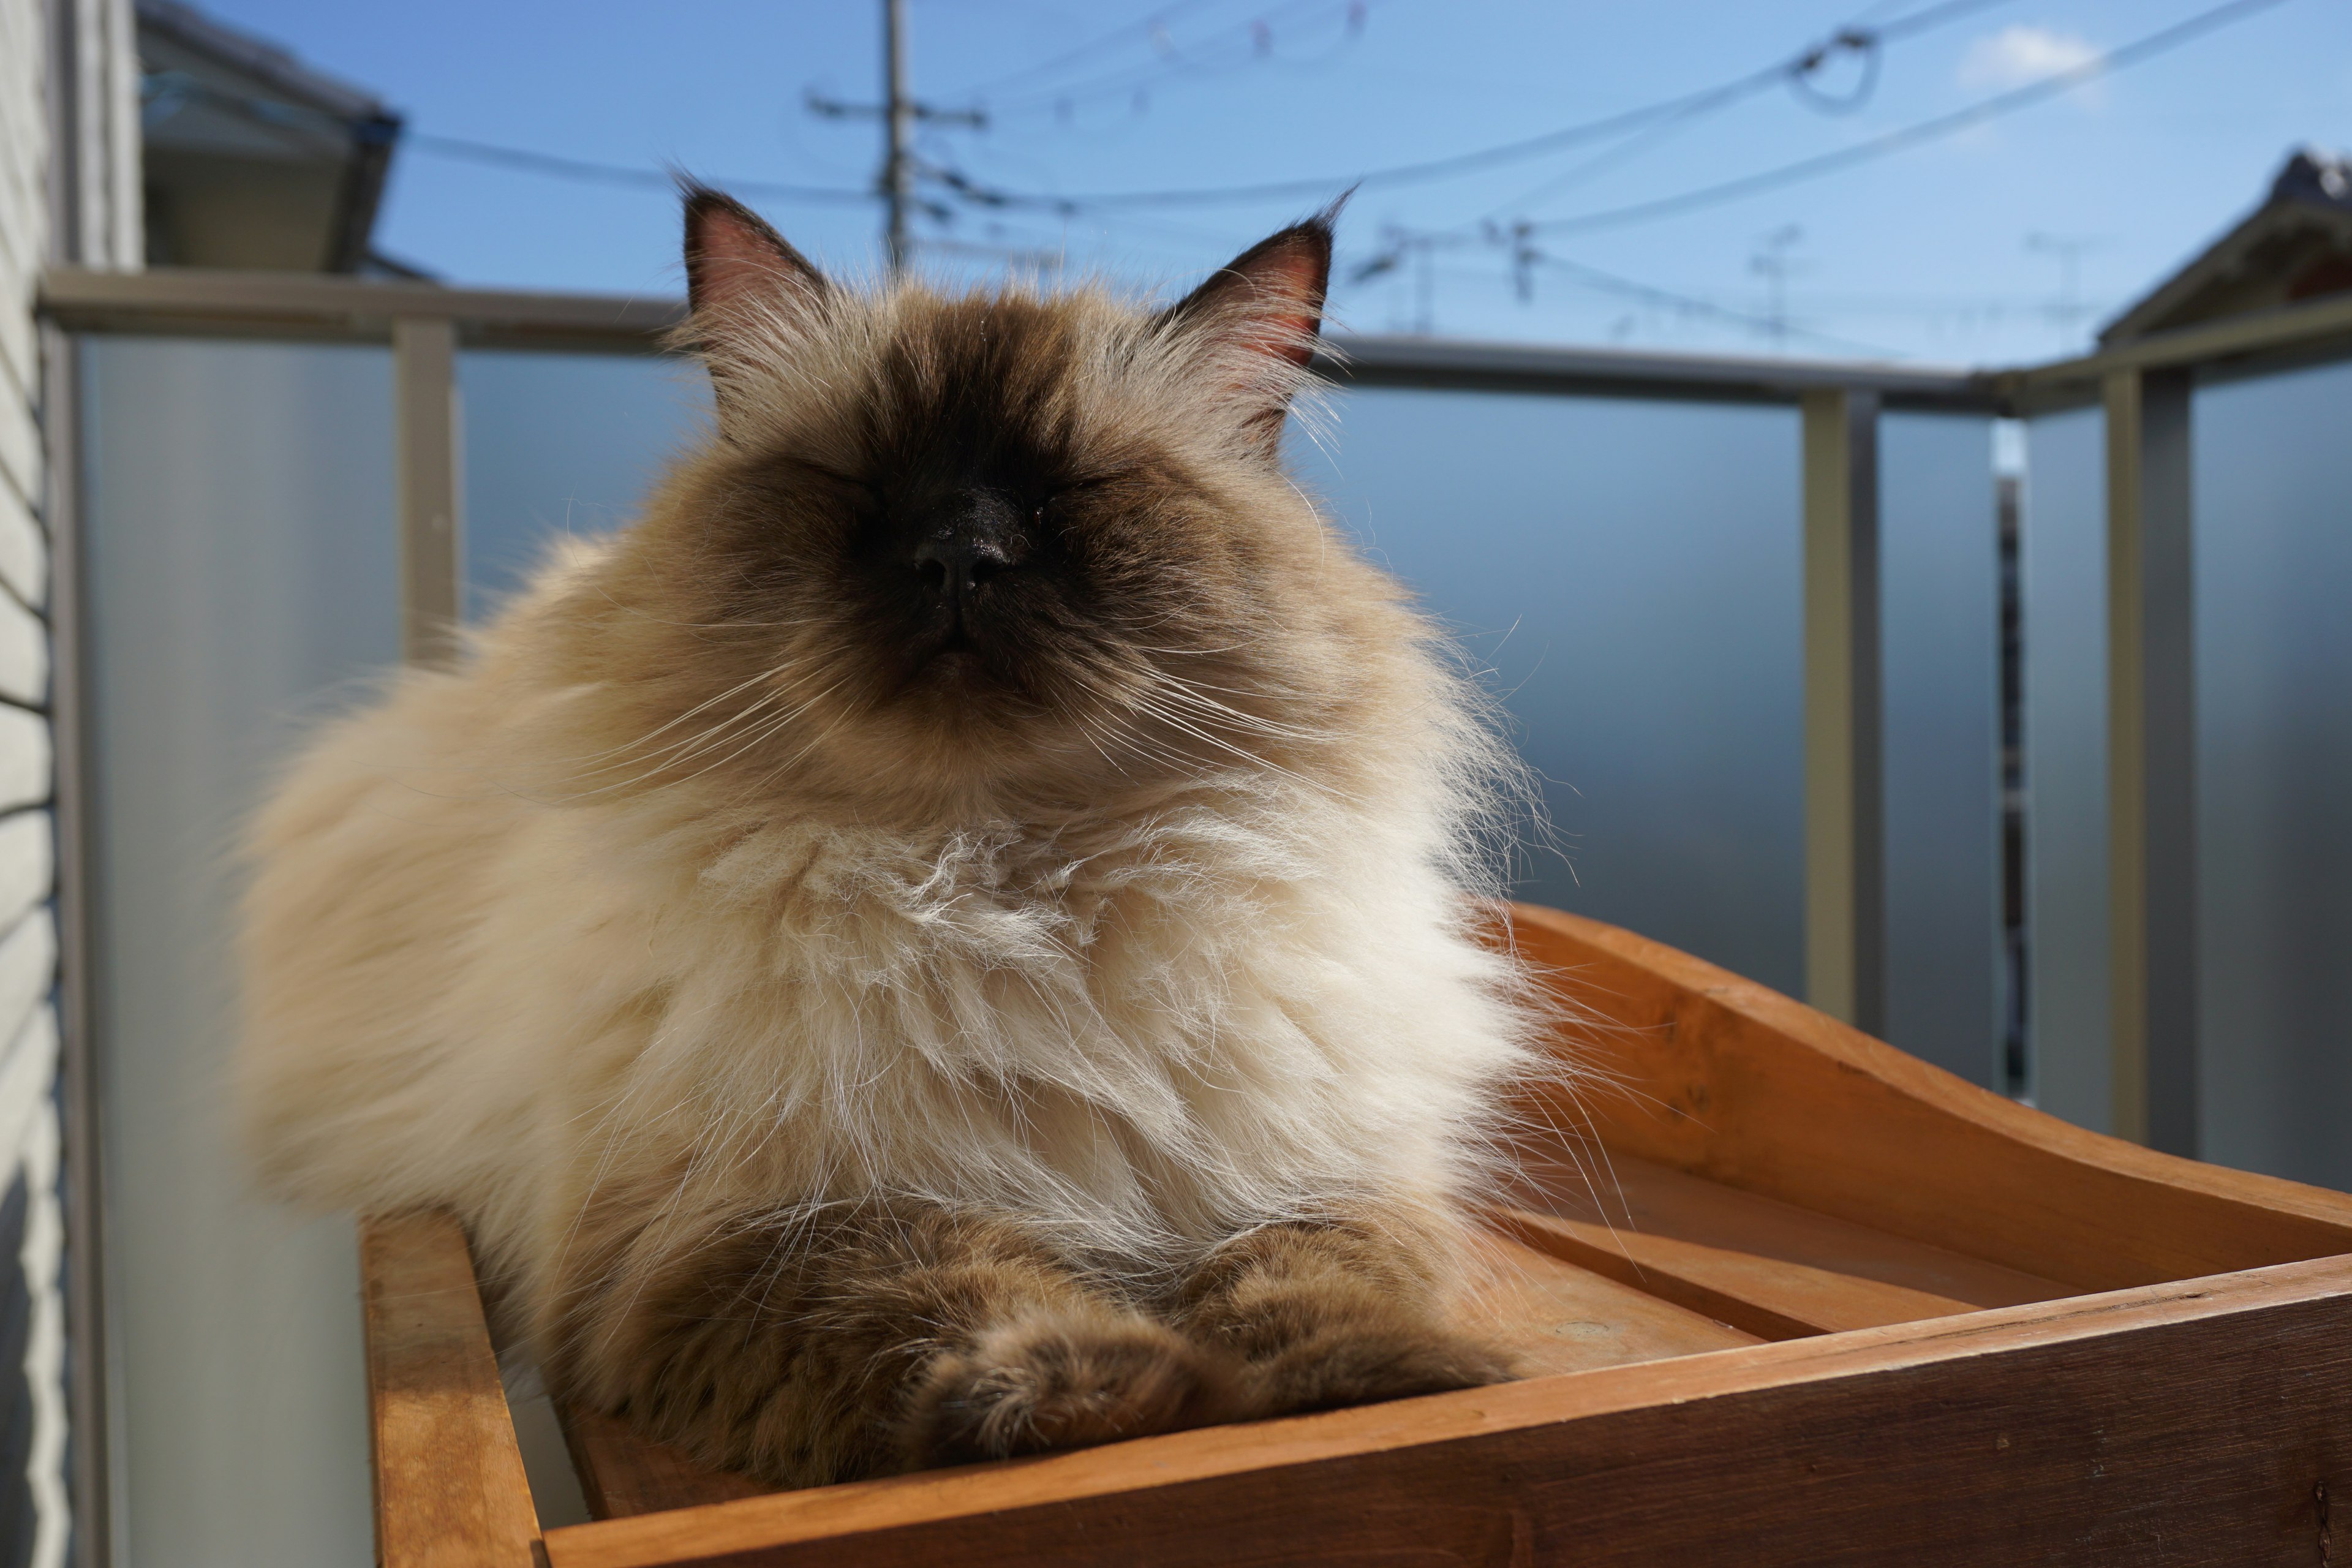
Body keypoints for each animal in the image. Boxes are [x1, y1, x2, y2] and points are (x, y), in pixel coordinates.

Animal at [238, 190, 1543, 1495]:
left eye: (1074, 491)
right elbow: (944, 1282)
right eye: (857, 484)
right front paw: (1102, 1395)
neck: (988, 889)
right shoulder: (743, 1234)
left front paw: (1383, 1384)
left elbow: (1307, 1277)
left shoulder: (1319, 1178)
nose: (960, 556)